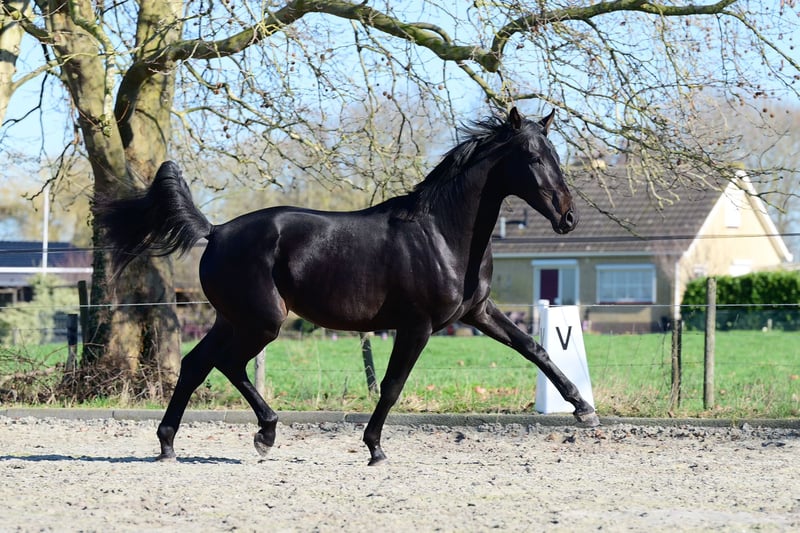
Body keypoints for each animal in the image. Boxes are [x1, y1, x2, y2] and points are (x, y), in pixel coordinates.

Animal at [97, 107, 599, 465]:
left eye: (556, 156)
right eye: (533, 158)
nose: (568, 219)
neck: (441, 233)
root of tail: (215, 230)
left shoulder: (478, 312)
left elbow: (535, 348)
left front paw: (582, 409)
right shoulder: (417, 326)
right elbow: (392, 385)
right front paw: (375, 448)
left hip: (232, 318)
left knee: (196, 364)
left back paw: (168, 444)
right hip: (262, 322)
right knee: (227, 363)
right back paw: (265, 433)